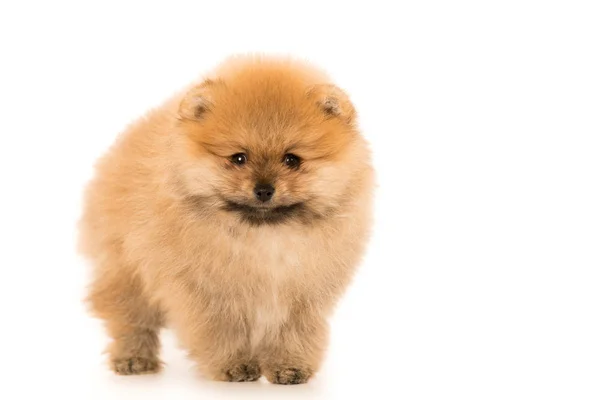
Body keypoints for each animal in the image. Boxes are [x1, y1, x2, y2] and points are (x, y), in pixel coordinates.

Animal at [77, 55, 372, 384]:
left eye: (292, 159)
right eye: (238, 158)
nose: (264, 189)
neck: (265, 235)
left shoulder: (300, 296)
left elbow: (292, 332)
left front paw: (289, 366)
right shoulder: (211, 292)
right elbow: (223, 331)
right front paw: (235, 365)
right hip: (127, 270)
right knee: (130, 319)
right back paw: (134, 358)